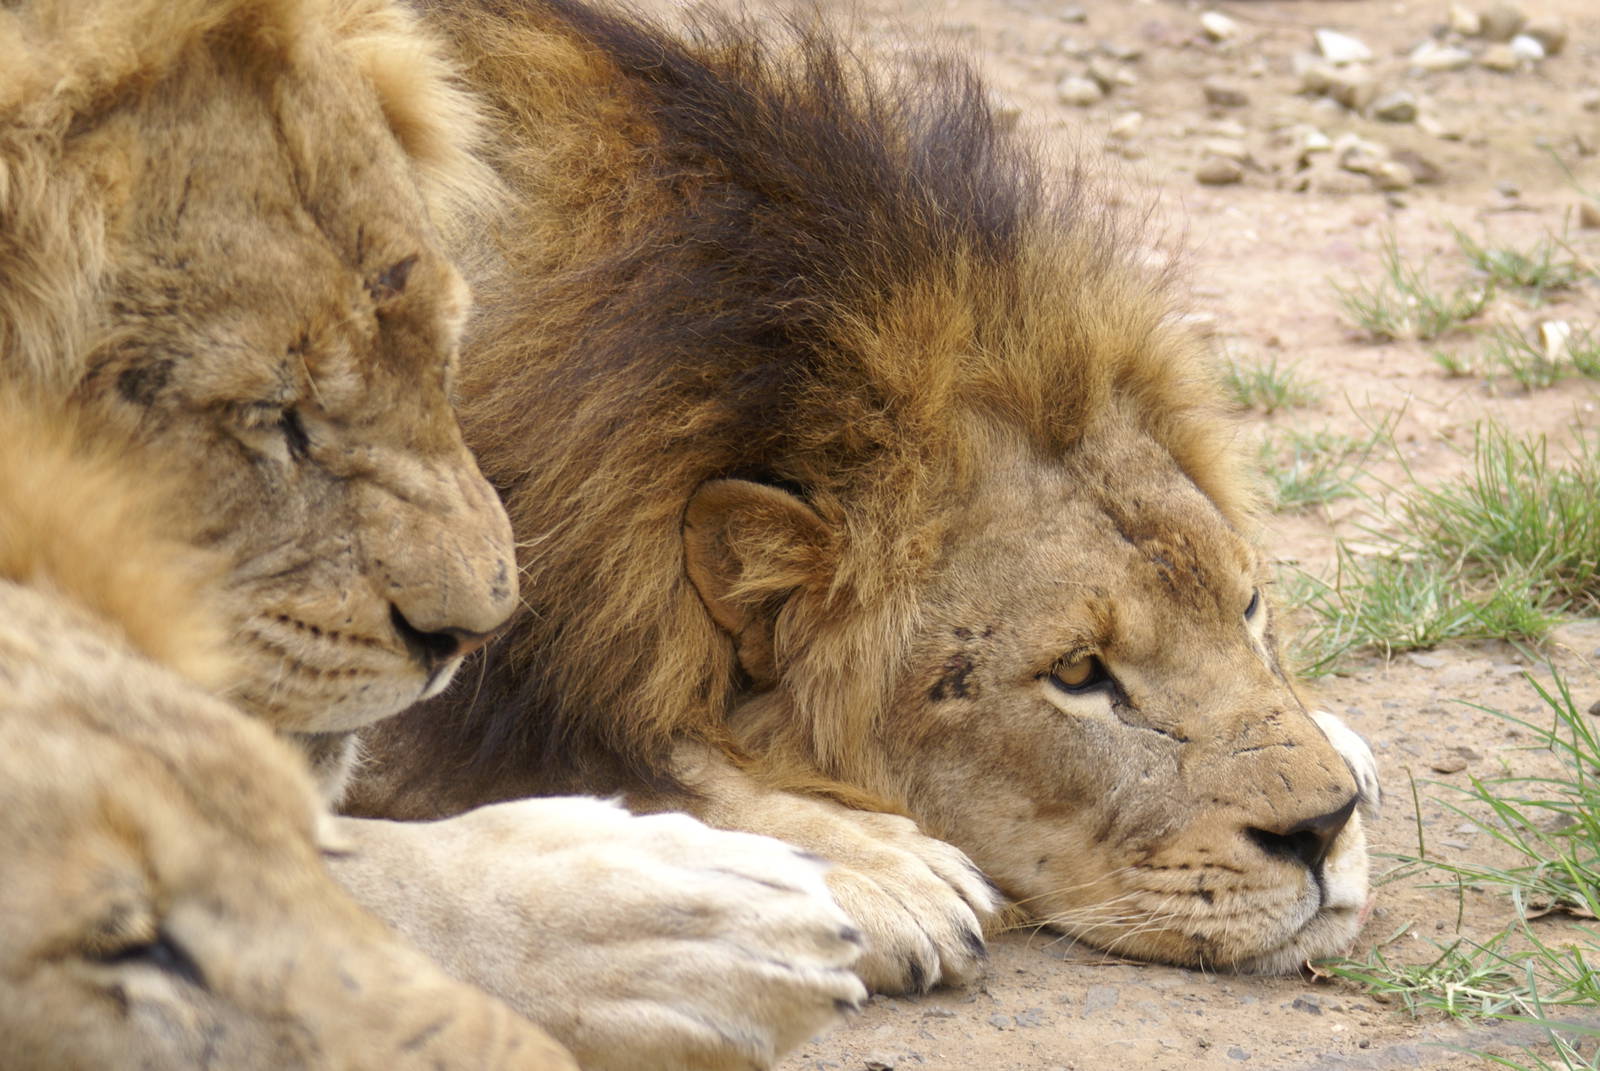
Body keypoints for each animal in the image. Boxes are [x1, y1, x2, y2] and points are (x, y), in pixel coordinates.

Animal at [350, 0, 1384, 991]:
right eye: (1079, 673)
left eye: (1248, 606)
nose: (1323, 827)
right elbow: (603, 755)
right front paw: (869, 871)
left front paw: (1339, 736)